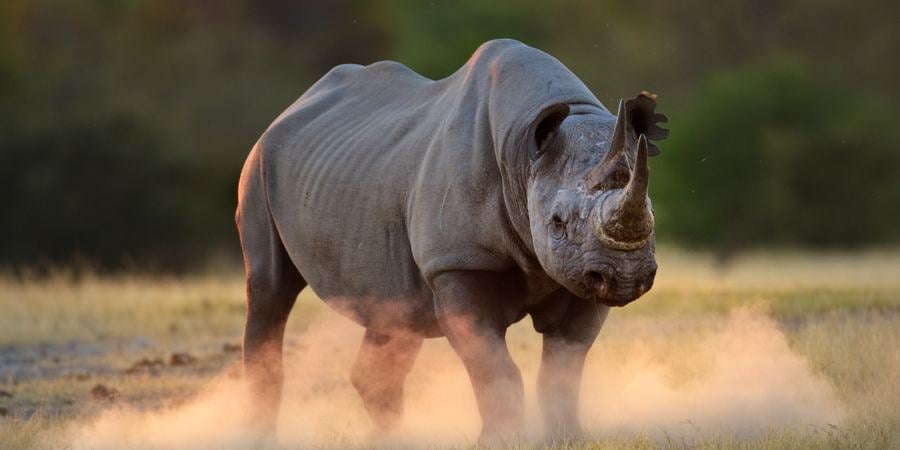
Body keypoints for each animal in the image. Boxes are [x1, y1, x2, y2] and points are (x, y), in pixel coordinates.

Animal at [236, 39, 668, 438]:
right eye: (558, 222)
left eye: (652, 214)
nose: (625, 275)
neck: (522, 155)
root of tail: (290, 108)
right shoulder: (457, 261)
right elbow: (492, 364)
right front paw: (502, 440)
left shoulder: (579, 274)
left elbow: (564, 365)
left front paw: (568, 437)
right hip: (258, 167)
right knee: (271, 289)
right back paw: (260, 434)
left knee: (393, 313)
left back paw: (393, 440)